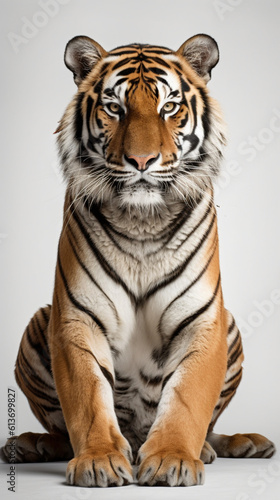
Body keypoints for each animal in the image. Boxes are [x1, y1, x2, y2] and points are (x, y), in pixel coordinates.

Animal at [0, 33, 276, 486]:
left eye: (169, 107)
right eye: (115, 108)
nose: (142, 161)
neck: (142, 222)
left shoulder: (203, 322)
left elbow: (187, 400)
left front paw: (171, 460)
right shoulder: (77, 318)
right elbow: (87, 399)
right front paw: (98, 460)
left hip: (230, 326)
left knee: (209, 428)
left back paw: (234, 445)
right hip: (39, 322)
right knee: (60, 429)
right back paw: (29, 445)